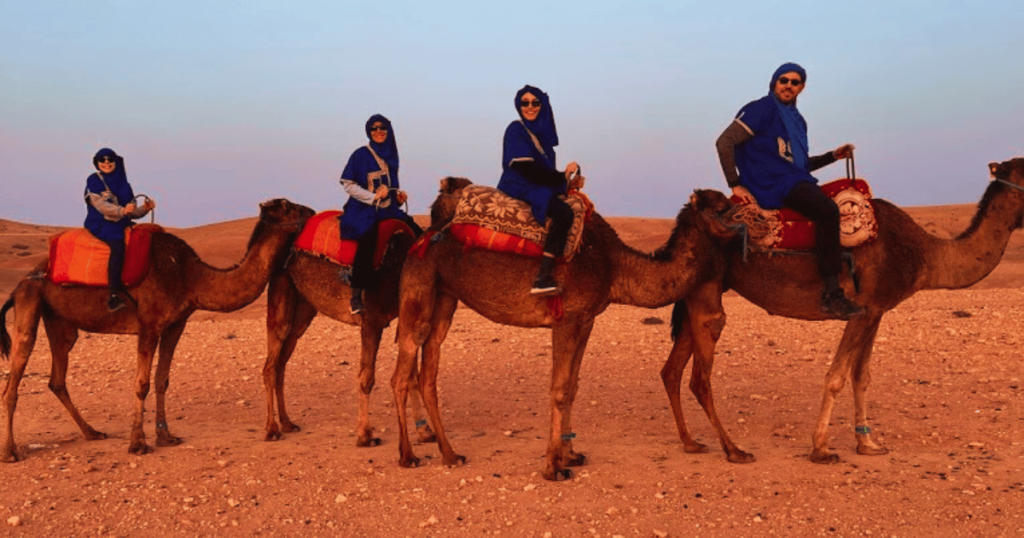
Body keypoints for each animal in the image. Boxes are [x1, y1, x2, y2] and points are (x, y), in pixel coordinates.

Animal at [1, 198, 311, 459]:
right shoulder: (148, 324)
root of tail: (25, 279)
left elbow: (163, 380)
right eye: (288, 206)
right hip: (29, 301)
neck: (190, 276)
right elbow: (142, 383)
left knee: (57, 377)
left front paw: (166, 437)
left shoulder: (175, 324)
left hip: (60, 322)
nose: (310, 211)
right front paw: (137, 443)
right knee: (15, 374)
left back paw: (92, 432)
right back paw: (10, 452)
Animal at [262, 176, 473, 444]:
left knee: (282, 360)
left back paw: (288, 423)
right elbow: (367, 377)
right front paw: (364, 433)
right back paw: (271, 429)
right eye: (466, 194)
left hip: (304, 307)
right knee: (271, 361)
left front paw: (424, 431)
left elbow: (411, 375)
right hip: (281, 288)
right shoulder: (371, 320)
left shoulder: (403, 317)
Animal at [389, 182, 737, 479]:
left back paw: (450, 454)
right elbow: (558, 389)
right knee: (402, 371)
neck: (614, 265)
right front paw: (553, 467)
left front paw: (570, 454)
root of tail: (424, 236)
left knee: (428, 371)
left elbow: (572, 387)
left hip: (445, 297)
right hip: (418, 287)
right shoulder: (566, 318)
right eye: (723, 207)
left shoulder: (586, 320)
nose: (745, 217)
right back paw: (407, 456)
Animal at [663, 157, 1024, 463]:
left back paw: (691, 442)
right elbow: (836, 376)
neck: (924, 253)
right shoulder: (863, 308)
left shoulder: (875, 311)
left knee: (672, 370)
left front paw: (868, 443)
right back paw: (730, 449)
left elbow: (861, 376)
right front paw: (821, 448)